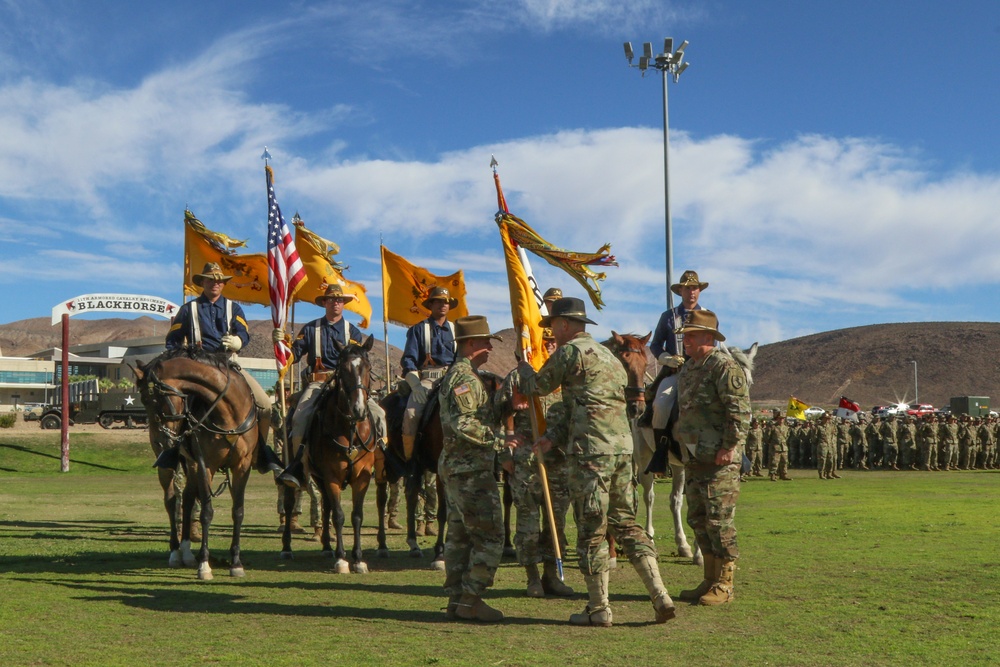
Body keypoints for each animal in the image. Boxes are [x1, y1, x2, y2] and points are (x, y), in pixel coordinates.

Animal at [137, 348, 262, 580]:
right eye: (144, 399)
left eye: (151, 398)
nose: (161, 440)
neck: (228, 411)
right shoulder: (206, 464)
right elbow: (206, 512)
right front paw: (204, 565)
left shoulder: (242, 465)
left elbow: (238, 511)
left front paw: (236, 563)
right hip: (171, 467)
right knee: (172, 501)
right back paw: (175, 552)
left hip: (191, 464)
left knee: (186, 498)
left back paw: (187, 553)